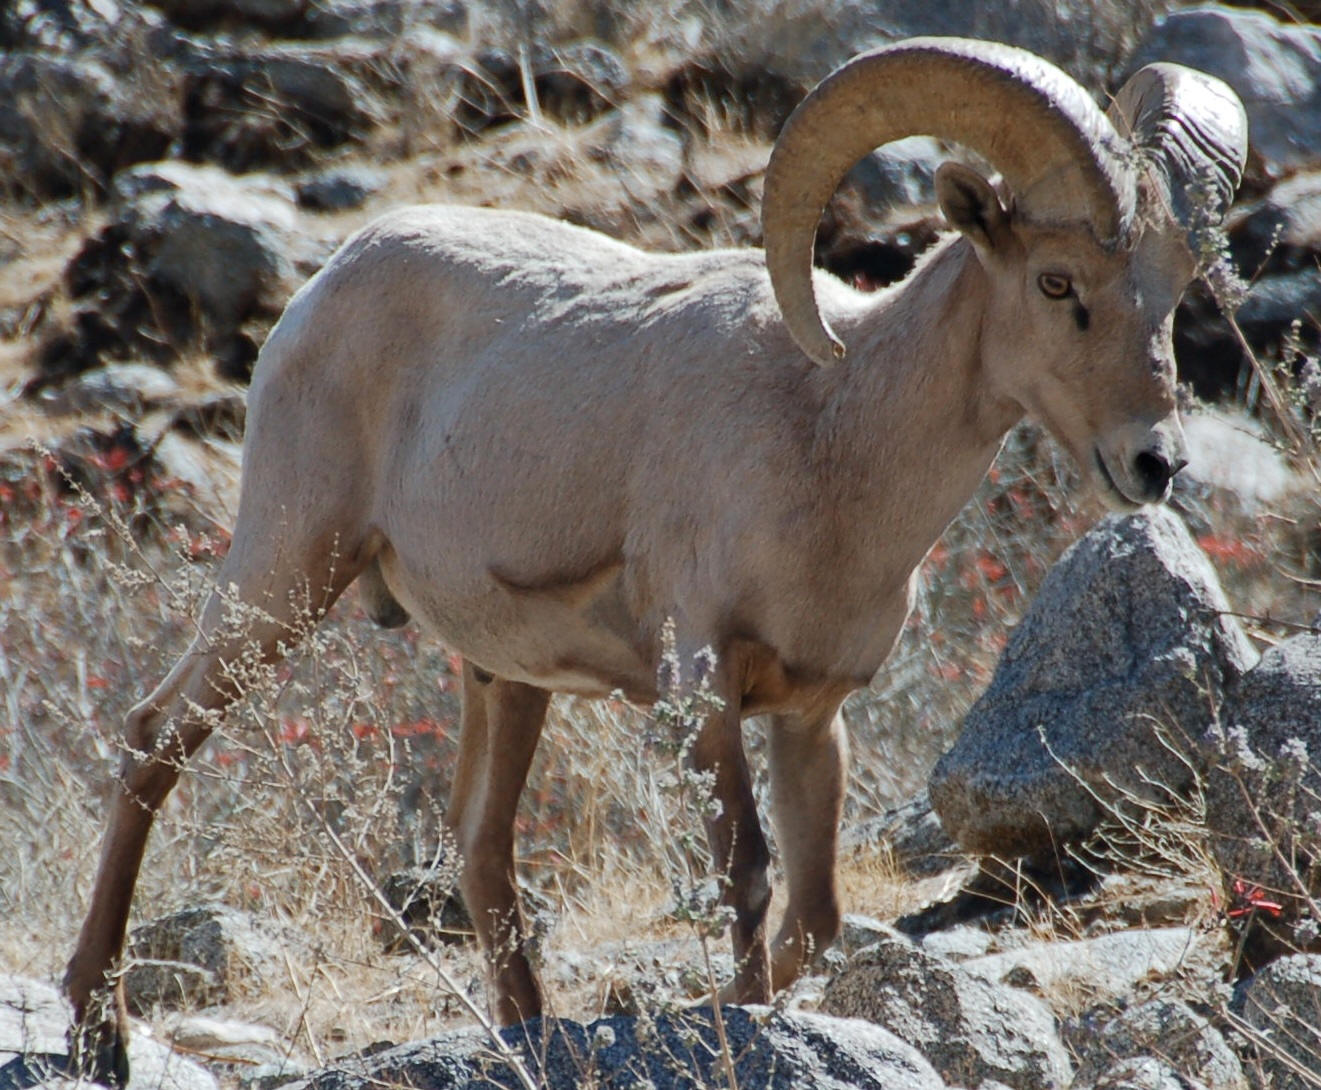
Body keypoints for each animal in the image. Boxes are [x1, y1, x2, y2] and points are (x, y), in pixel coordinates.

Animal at [64, 38, 1247, 1083]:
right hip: (284, 573)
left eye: (1172, 287)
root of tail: (325, 287)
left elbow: (814, 913)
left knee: (481, 848)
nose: (1154, 462)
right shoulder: (704, 689)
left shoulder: (811, 715)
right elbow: (747, 879)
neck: (832, 436)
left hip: (500, 679)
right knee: (154, 740)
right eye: (1055, 283)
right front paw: (741, 1024)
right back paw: (94, 1031)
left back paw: (524, 1039)